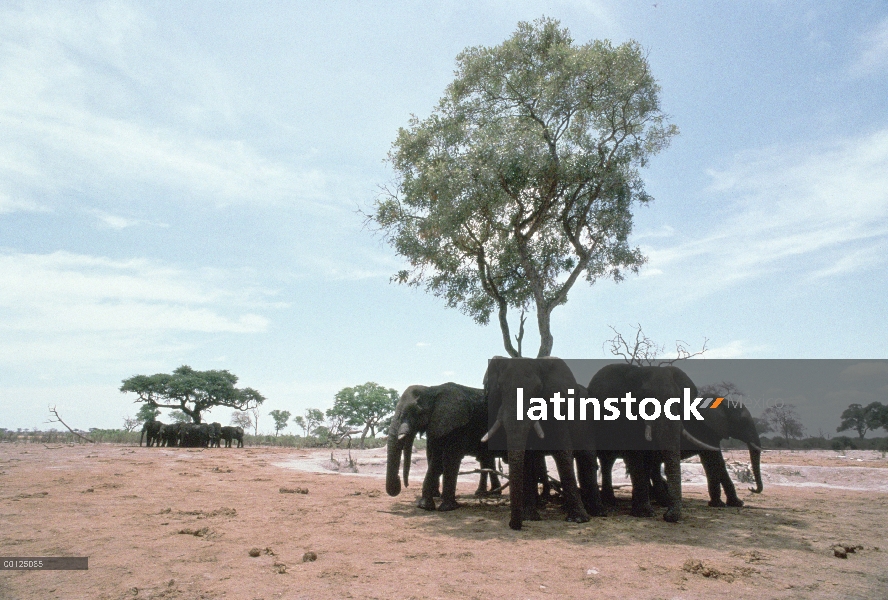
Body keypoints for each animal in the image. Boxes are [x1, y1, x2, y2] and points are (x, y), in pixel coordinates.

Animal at [482, 356, 600, 528]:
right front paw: (529, 517)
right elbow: (527, 457)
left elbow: (562, 452)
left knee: (587, 456)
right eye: (500, 387)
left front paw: (579, 519)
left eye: (538, 389)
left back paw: (596, 512)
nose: (512, 525)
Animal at [584, 364, 720, 524]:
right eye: (646, 399)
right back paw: (610, 502)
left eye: (679, 400)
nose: (667, 516)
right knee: (607, 460)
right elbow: (635, 455)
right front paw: (644, 513)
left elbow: (648, 459)